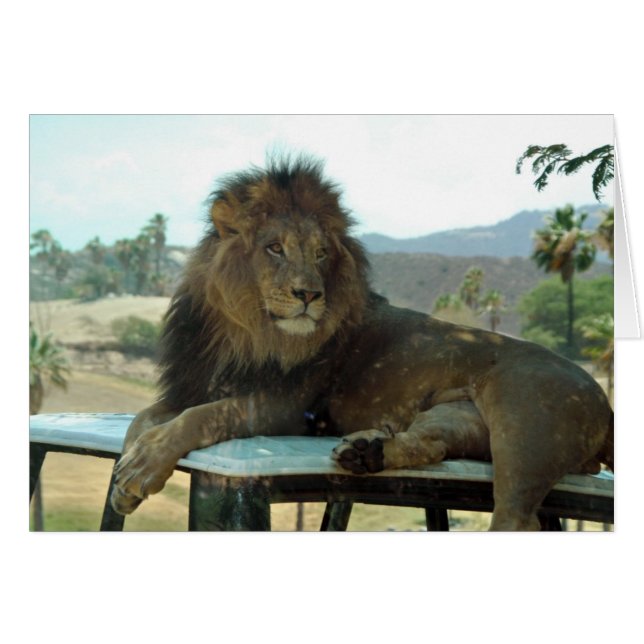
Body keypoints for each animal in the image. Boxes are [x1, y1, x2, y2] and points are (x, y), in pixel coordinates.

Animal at [111, 155, 614, 530]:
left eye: (320, 253)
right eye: (274, 248)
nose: (309, 294)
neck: (244, 331)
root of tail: (605, 402)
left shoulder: (287, 407)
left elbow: (200, 417)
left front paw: (141, 466)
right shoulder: (190, 386)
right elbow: (142, 419)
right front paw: (126, 476)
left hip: (524, 429)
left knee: (515, 517)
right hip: (460, 416)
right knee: (432, 444)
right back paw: (367, 451)